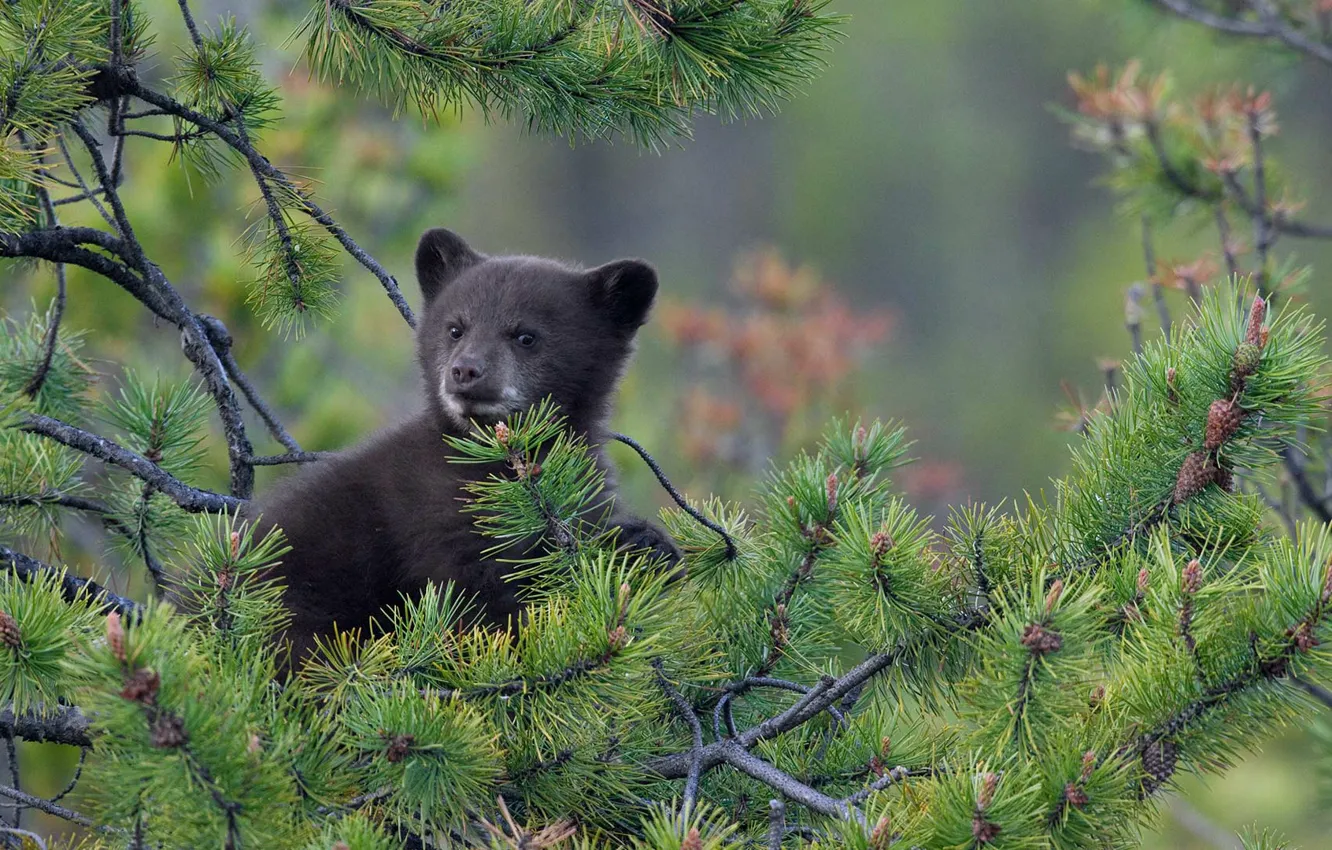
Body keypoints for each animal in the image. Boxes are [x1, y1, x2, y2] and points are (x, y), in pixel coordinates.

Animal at [246, 228, 680, 668]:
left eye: (525, 336)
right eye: (456, 328)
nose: (465, 370)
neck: (499, 465)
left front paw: (647, 545)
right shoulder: (432, 518)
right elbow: (473, 602)